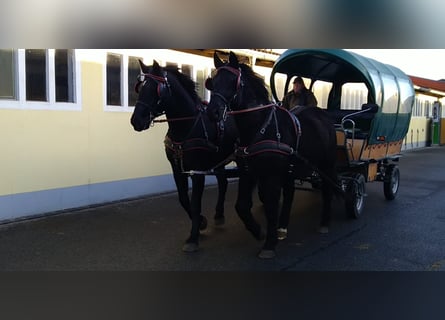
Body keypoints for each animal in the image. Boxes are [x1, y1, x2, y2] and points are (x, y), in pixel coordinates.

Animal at [130, 60, 238, 252]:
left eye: (155, 89)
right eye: (140, 87)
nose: (136, 120)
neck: (187, 126)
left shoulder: (197, 172)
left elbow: (195, 203)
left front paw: (193, 237)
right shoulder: (176, 169)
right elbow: (183, 199)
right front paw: (201, 222)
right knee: (223, 182)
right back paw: (219, 214)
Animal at [205, 51, 336, 258]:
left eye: (233, 81)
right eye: (213, 81)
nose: (213, 112)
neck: (260, 126)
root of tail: (324, 117)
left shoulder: (271, 176)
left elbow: (271, 205)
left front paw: (269, 243)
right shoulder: (248, 172)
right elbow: (242, 206)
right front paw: (259, 231)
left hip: (326, 165)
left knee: (327, 189)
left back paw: (324, 222)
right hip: (291, 169)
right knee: (290, 193)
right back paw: (282, 227)